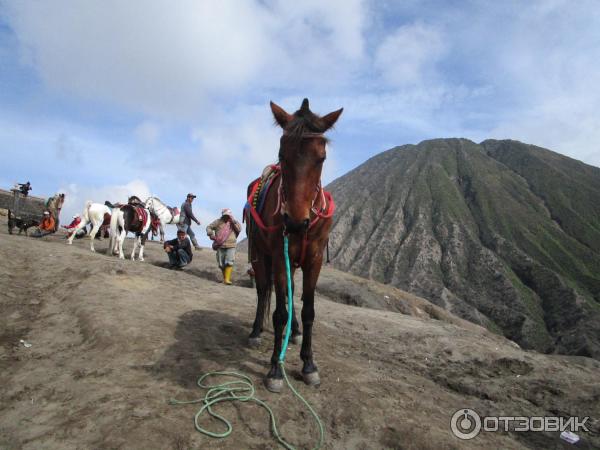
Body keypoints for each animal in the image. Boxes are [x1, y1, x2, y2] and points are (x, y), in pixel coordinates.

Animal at [244, 97, 342, 390]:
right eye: (282, 155)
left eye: (321, 158)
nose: (296, 223)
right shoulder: (279, 256)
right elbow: (278, 312)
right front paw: (276, 368)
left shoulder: (314, 260)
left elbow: (308, 309)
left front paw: (309, 364)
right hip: (260, 256)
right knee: (264, 291)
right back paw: (256, 331)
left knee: (289, 293)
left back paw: (295, 330)